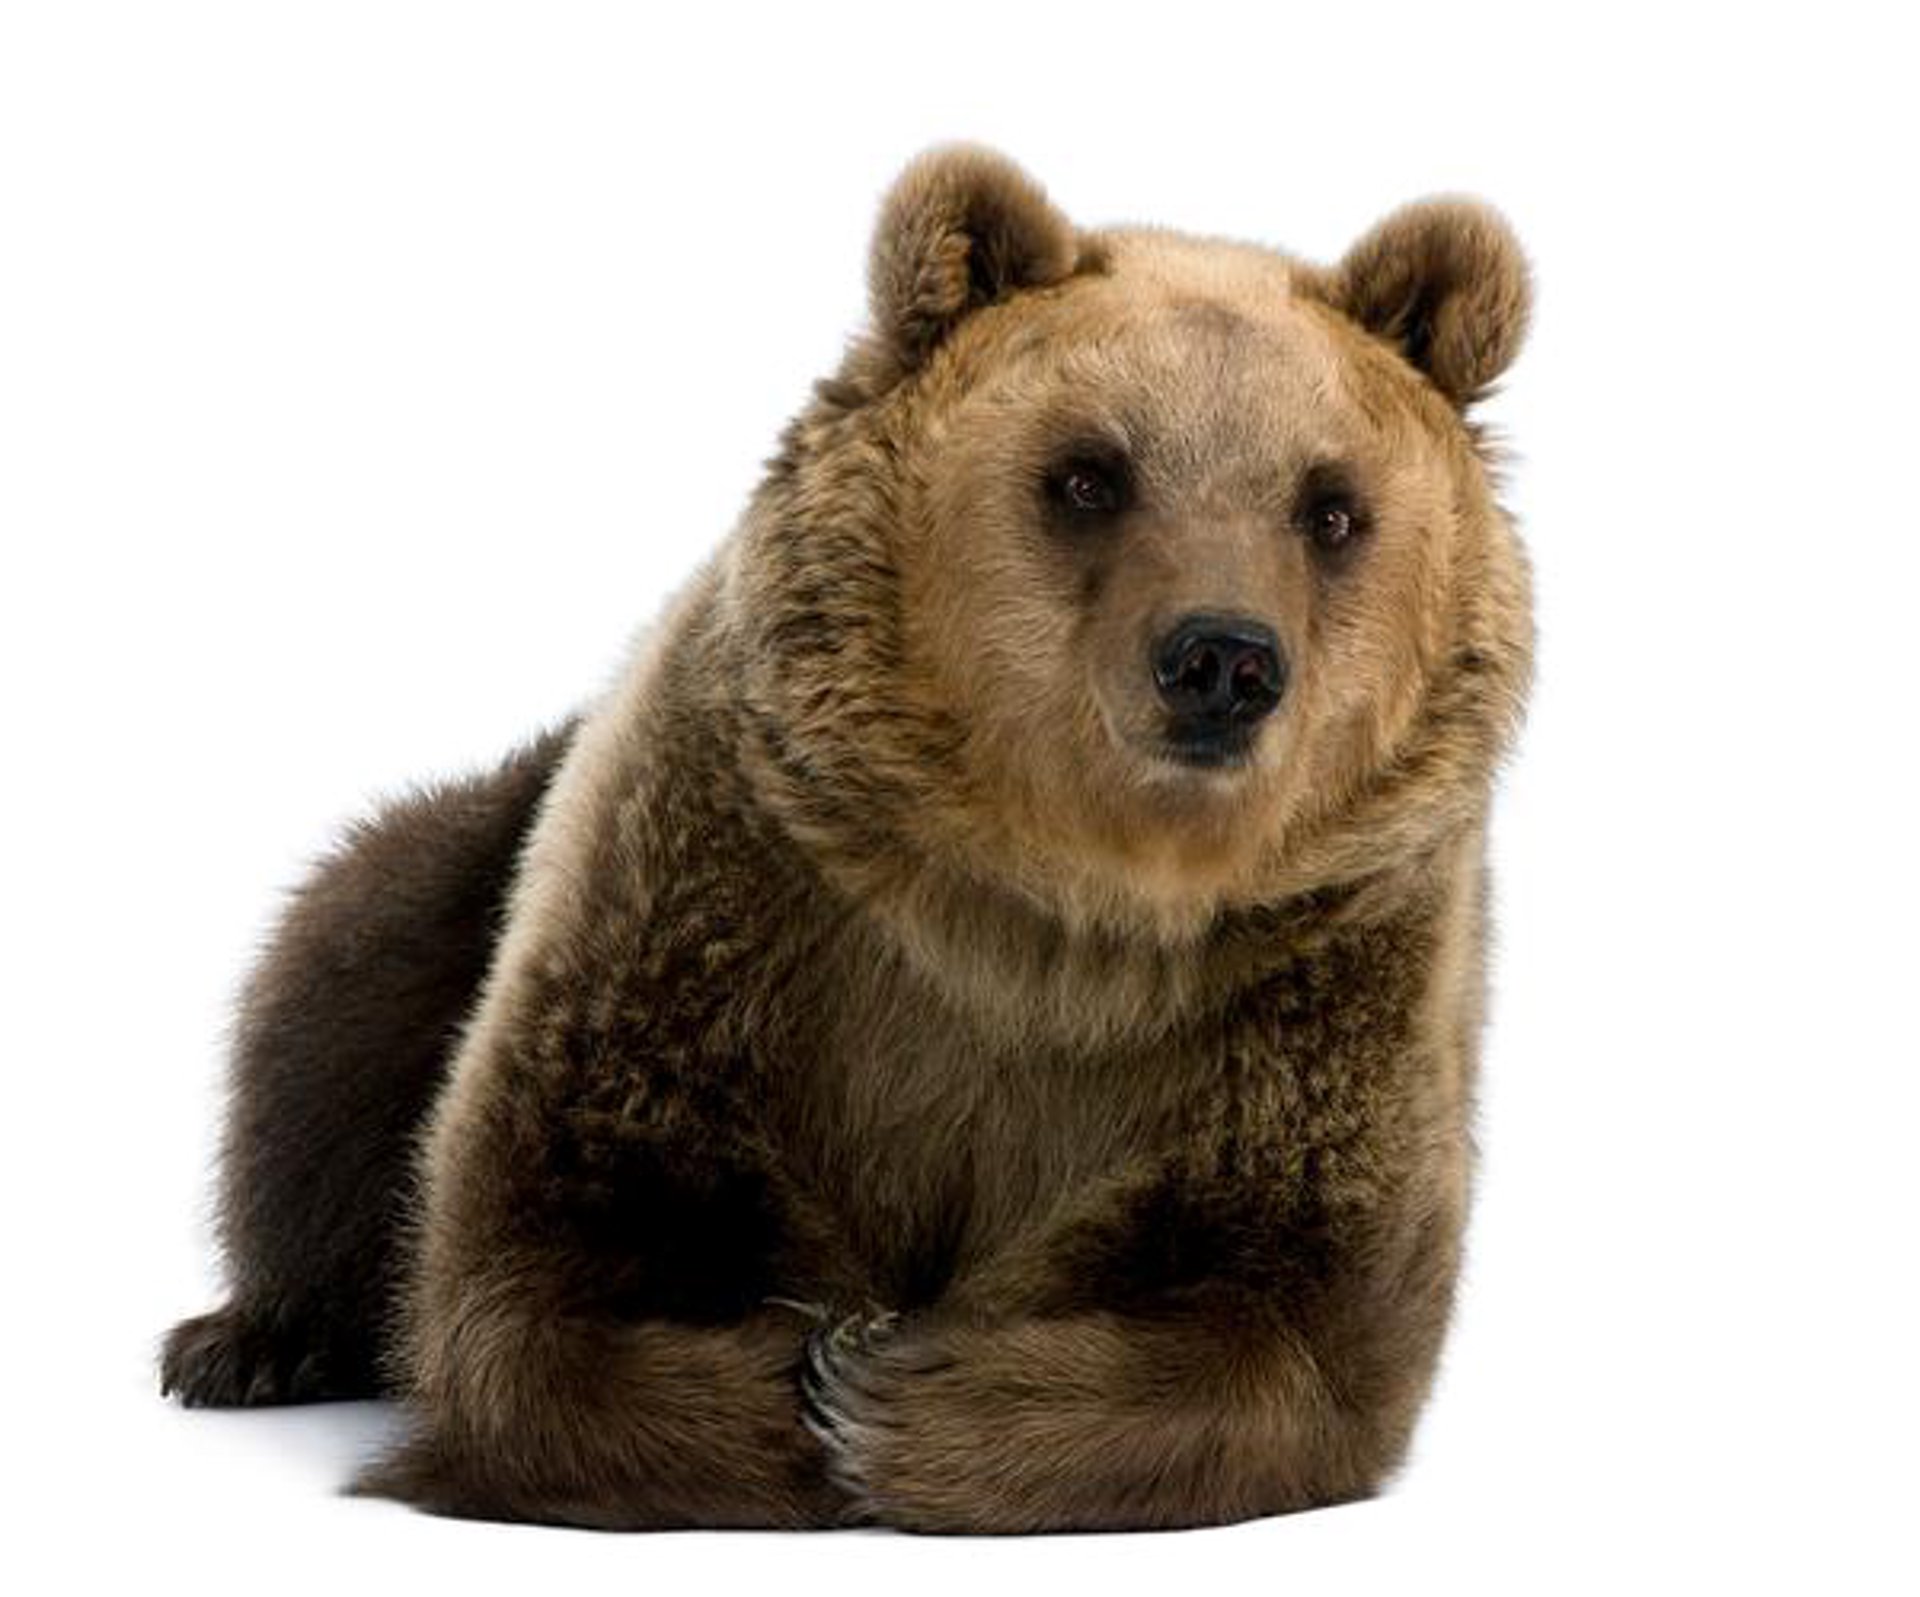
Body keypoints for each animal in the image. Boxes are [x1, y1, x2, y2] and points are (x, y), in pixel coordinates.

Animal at [161, 145, 1534, 1534]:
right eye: (1088, 474)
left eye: (1331, 506)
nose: (1221, 658)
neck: (1058, 906)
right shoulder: (718, 906)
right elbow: (534, 1260)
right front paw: (795, 1368)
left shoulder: (1312, 996)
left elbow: (1294, 1317)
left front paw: (885, 1385)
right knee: (339, 974)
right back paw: (250, 1340)